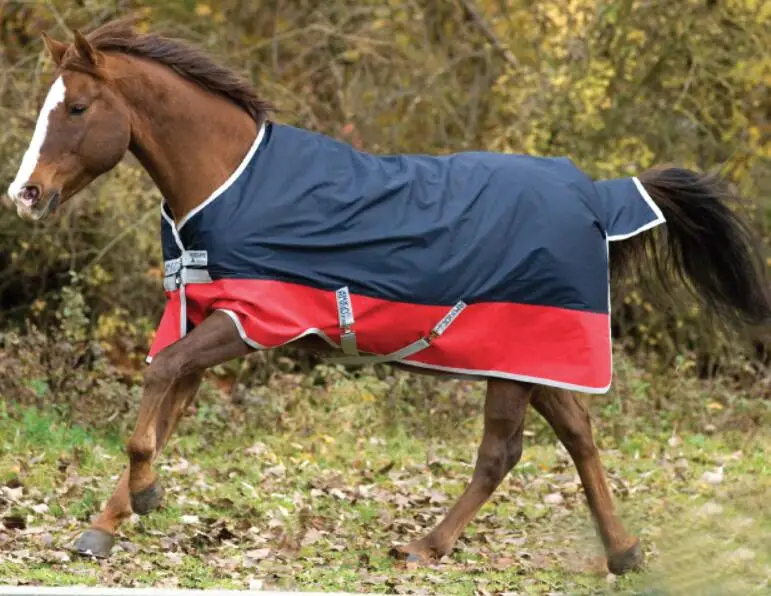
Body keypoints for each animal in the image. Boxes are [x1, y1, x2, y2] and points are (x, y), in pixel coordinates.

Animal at [7, 19, 770, 575]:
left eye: (77, 107)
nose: (26, 195)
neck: (233, 181)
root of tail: (593, 195)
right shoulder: (209, 325)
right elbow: (162, 410)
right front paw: (104, 527)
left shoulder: (252, 321)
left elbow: (156, 388)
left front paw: (144, 496)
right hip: (531, 358)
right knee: (576, 435)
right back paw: (622, 552)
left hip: (515, 353)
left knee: (503, 452)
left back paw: (426, 546)